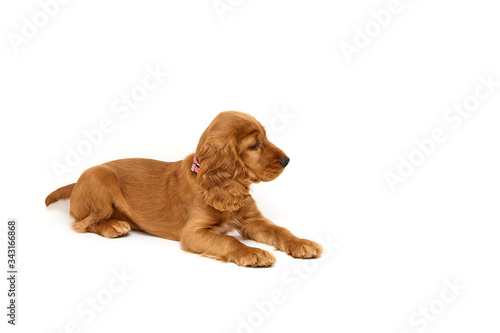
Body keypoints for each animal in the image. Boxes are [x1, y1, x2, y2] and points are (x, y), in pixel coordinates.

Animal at [45, 110, 322, 266]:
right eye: (254, 145)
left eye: (266, 136)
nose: (287, 160)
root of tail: (76, 182)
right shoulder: (194, 233)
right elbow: (229, 241)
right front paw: (253, 253)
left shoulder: (252, 220)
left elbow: (280, 230)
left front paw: (302, 243)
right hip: (100, 178)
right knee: (81, 223)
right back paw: (114, 226)